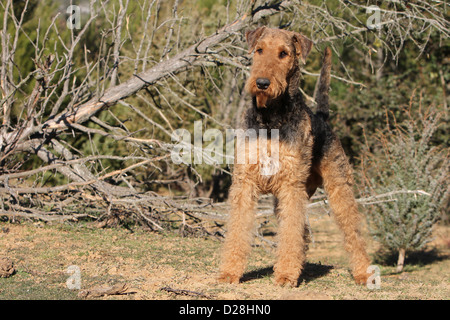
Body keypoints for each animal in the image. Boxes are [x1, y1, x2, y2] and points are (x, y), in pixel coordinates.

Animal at [217, 26, 370, 288]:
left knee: (352, 231)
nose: (262, 83)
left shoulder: (290, 186)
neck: (270, 119)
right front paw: (229, 272)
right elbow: (238, 230)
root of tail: (321, 117)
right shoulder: (244, 182)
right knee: (304, 232)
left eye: (284, 53)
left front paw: (286, 276)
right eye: (259, 50)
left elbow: (290, 234)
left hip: (338, 187)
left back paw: (363, 273)